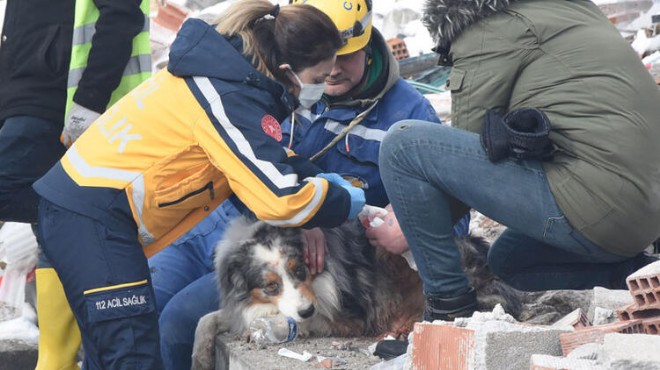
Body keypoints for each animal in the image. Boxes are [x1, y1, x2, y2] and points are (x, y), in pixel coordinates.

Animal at [189, 215, 520, 368]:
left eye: (300, 271)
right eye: (271, 285)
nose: (307, 309)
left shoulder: (345, 315)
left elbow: (297, 322)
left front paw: (274, 327)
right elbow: (207, 319)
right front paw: (200, 357)